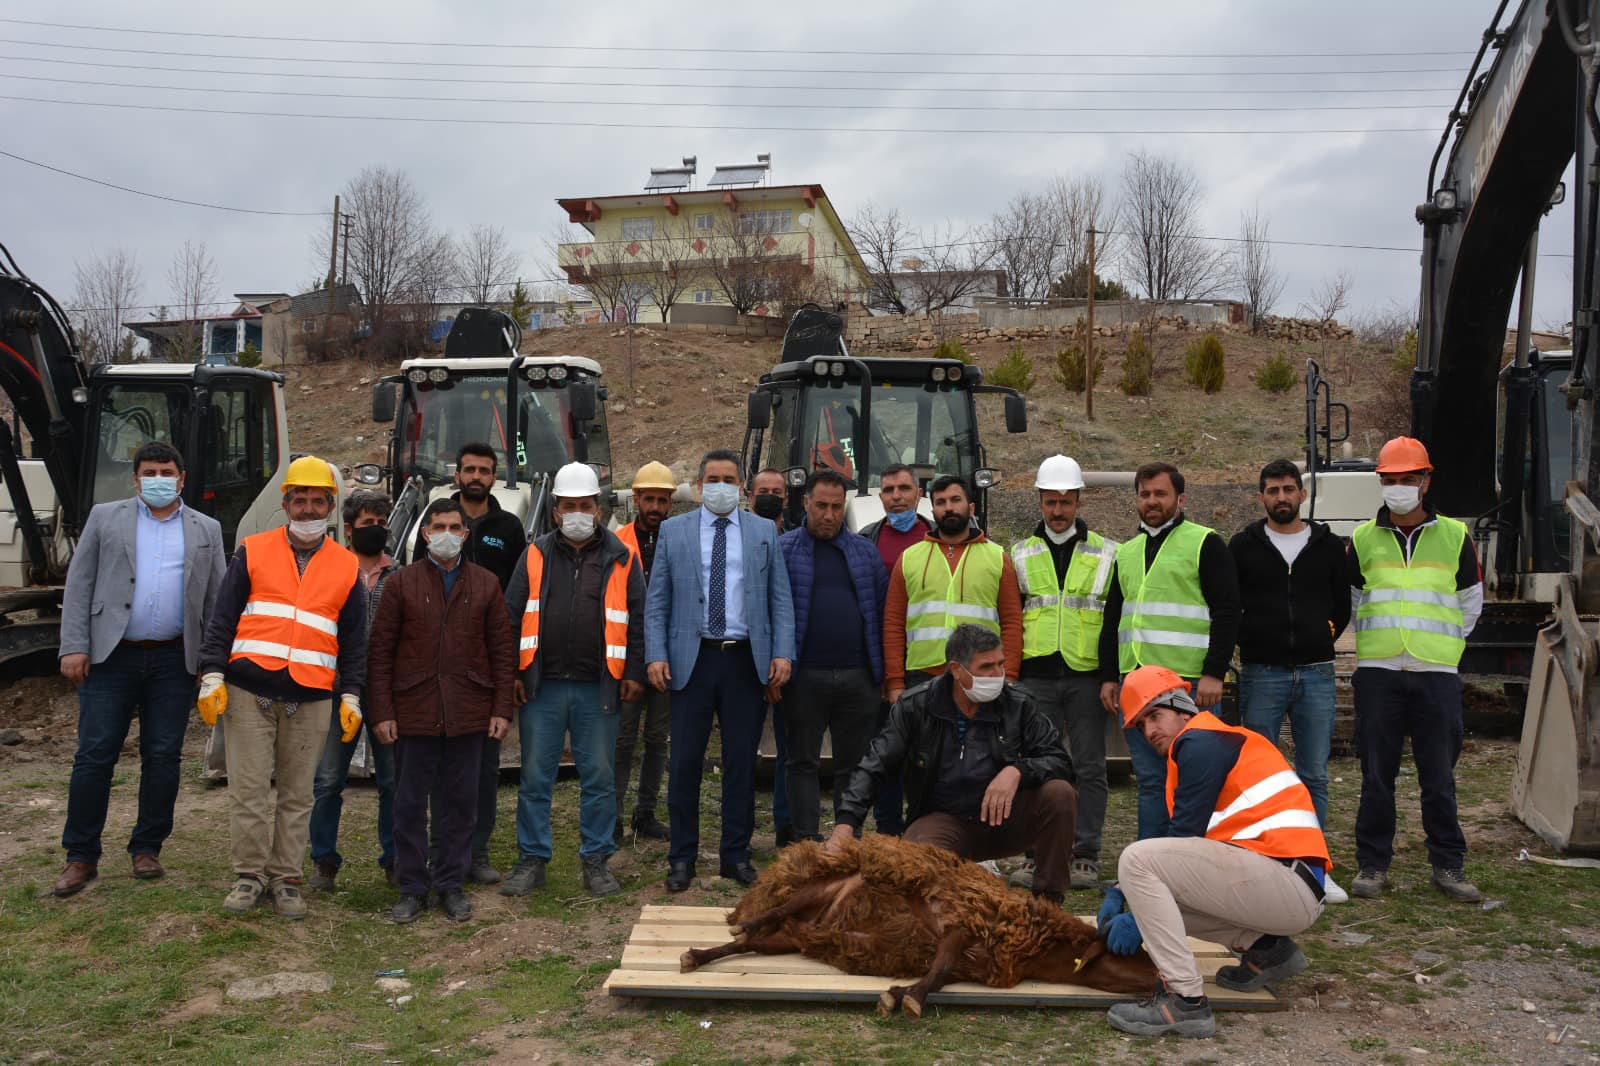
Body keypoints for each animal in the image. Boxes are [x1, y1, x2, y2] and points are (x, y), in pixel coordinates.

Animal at [681, 832, 1158, 1011]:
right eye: (1134, 952)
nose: (1163, 980)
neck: (1037, 946)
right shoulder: (961, 925)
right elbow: (940, 969)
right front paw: (907, 997)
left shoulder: (969, 958)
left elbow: (941, 974)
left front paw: (902, 993)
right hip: (818, 888)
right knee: (772, 914)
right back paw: (743, 924)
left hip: (792, 939)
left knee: (753, 944)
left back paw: (698, 955)